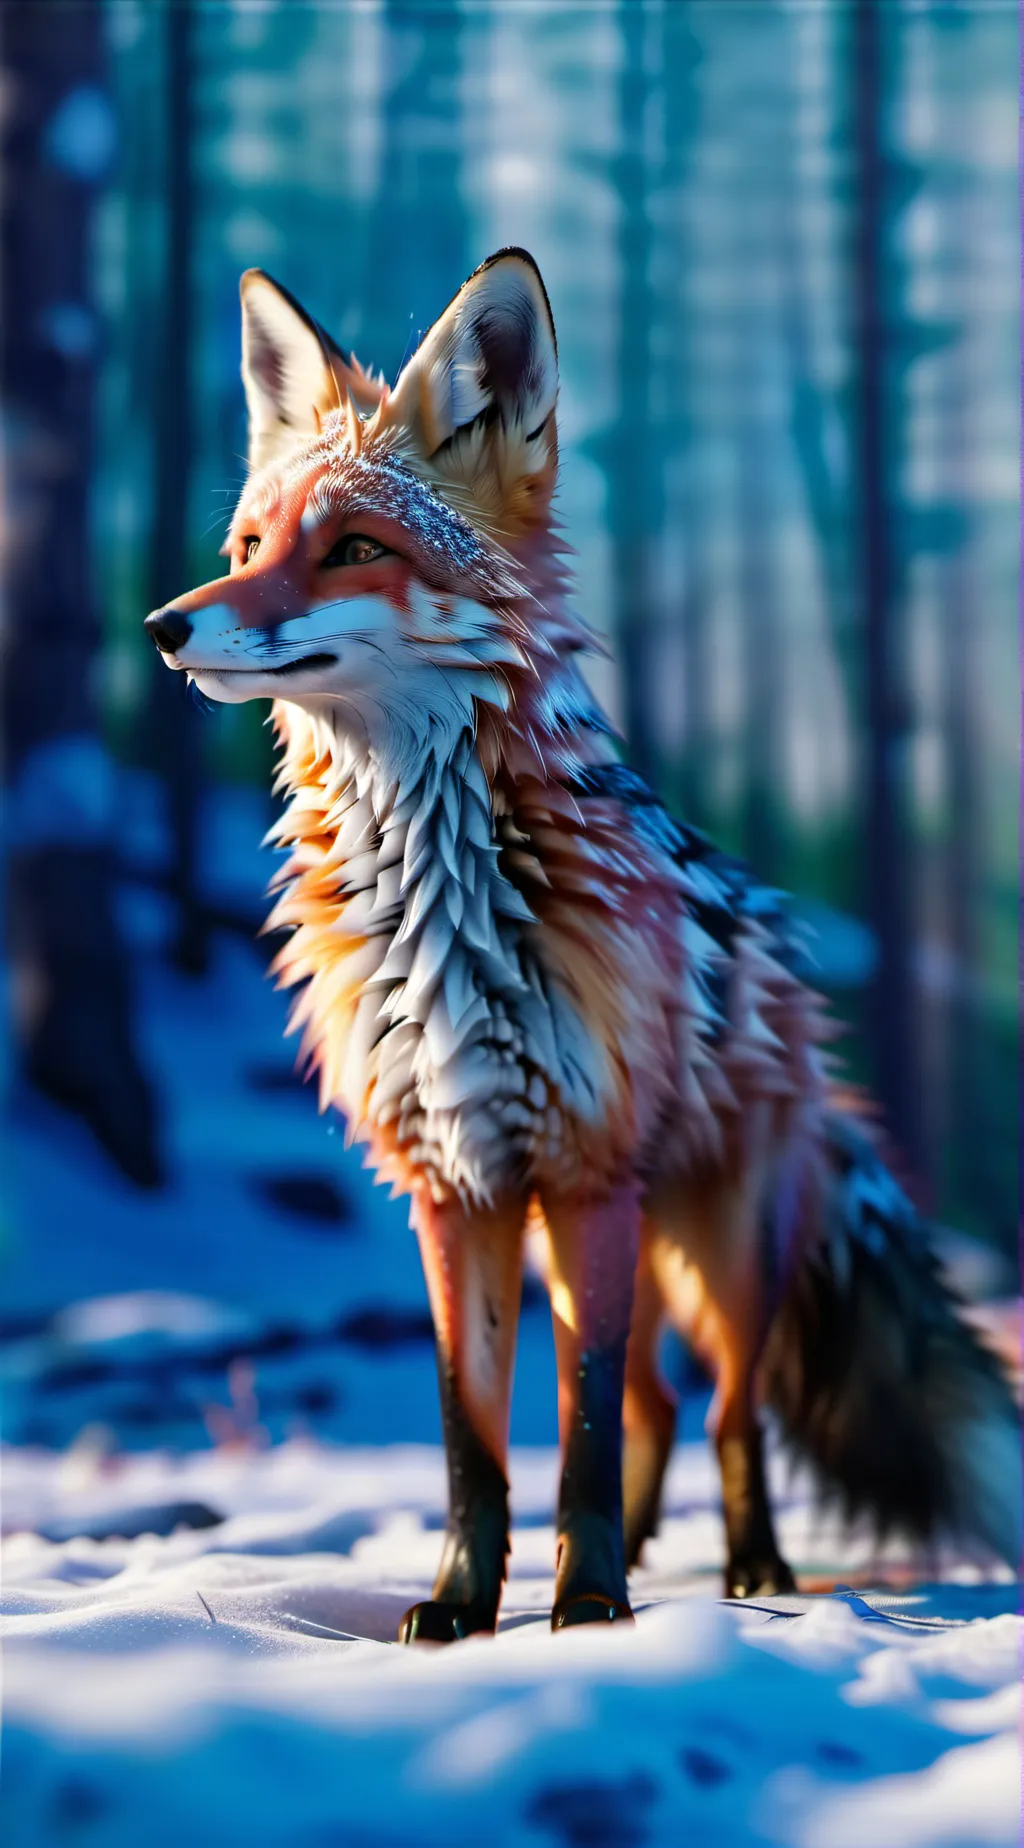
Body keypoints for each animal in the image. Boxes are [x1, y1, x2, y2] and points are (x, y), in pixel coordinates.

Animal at [145, 248, 1021, 1639]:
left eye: (353, 549)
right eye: (245, 547)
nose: (165, 626)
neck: (448, 915)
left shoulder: (583, 1173)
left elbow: (584, 1426)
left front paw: (589, 1606)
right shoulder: (453, 1186)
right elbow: (477, 1439)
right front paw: (464, 1607)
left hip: (718, 1260)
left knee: (721, 1415)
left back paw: (749, 1571)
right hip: (631, 1250)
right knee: (664, 1407)